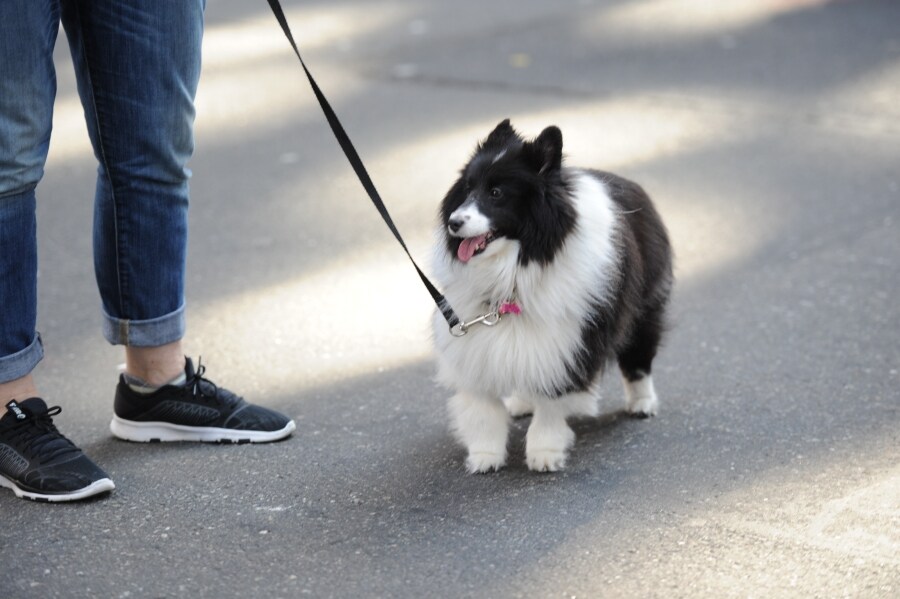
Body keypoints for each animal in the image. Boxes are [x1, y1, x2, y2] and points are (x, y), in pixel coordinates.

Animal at [432, 118, 672, 474]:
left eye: (496, 193)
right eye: (467, 188)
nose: (453, 222)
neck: (519, 262)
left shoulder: (568, 340)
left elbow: (551, 400)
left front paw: (544, 452)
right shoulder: (477, 341)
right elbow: (485, 407)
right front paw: (485, 456)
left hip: (644, 308)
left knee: (638, 357)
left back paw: (642, 403)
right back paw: (521, 402)